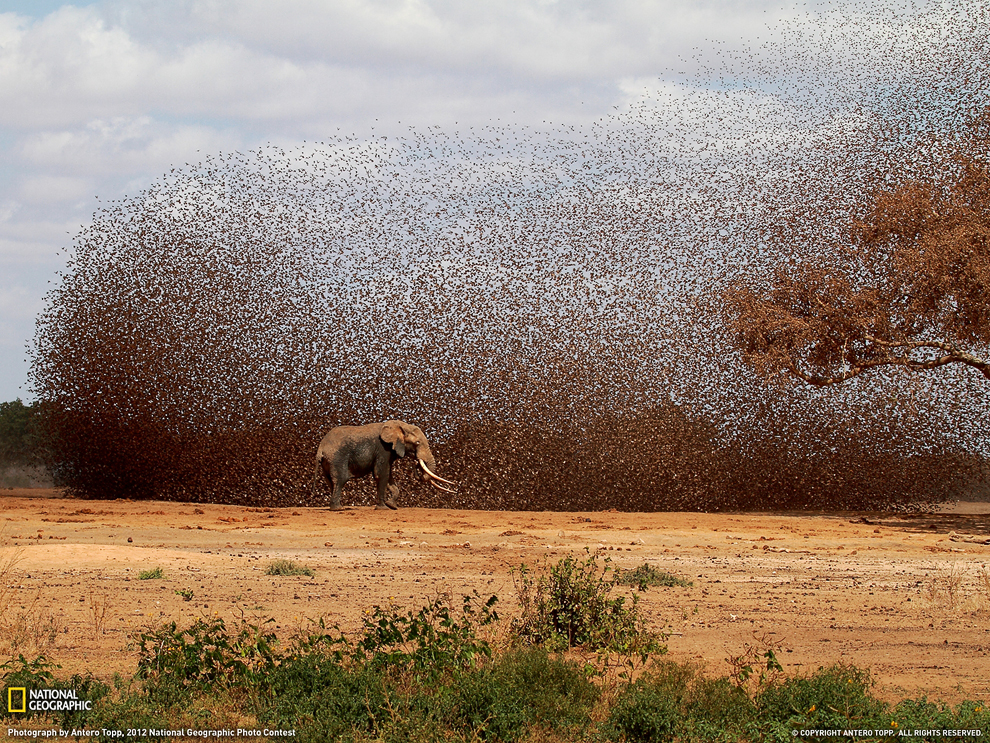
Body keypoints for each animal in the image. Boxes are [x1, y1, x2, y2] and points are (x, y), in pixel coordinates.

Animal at [312, 418, 460, 512]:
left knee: (331, 481)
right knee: (340, 480)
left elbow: (389, 475)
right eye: (417, 443)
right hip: (337, 457)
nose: (416, 463)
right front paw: (383, 508)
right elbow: (381, 473)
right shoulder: (382, 448)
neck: (399, 425)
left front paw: (392, 506)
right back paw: (338, 509)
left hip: (328, 462)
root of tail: (321, 448)